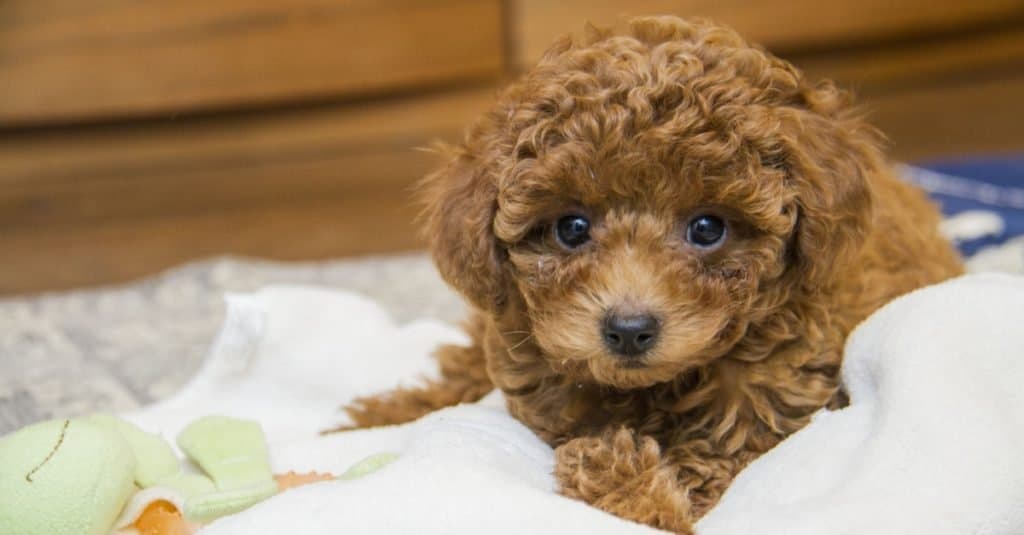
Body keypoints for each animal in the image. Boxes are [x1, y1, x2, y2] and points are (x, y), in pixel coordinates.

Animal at [342, 14, 958, 528]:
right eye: (571, 228)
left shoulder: (765, 409)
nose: (629, 330)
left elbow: (698, 461)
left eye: (708, 228)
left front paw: (642, 501)